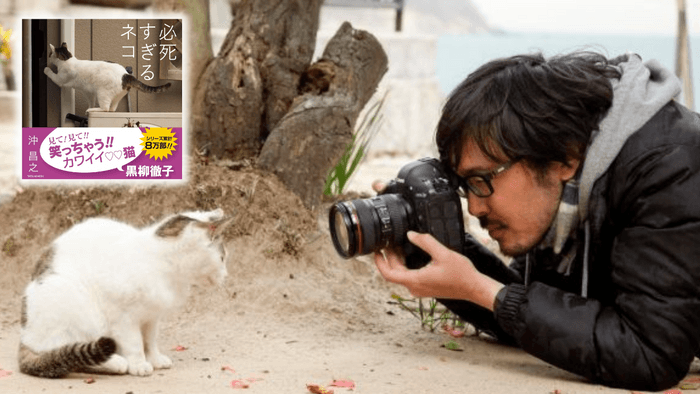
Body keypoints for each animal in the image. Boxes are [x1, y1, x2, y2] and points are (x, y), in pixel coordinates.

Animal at [19, 209, 231, 378]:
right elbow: (135, 343)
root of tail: (25, 336)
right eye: (222, 258)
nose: (227, 275)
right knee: (67, 352)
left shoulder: (152, 317)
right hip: (74, 304)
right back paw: (117, 362)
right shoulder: (123, 317)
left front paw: (155, 359)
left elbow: (150, 341)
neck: (163, 264)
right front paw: (139, 364)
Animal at [44, 43, 172, 114]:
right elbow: (91, 101)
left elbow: (52, 74)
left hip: (103, 93)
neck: (68, 59)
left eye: (50, 54)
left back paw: (92, 110)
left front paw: (46, 69)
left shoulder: (60, 79)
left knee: (105, 108)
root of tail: (126, 74)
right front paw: (90, 106)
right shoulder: (89, 92)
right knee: (112, 109)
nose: (48, 57)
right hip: (117, 96)